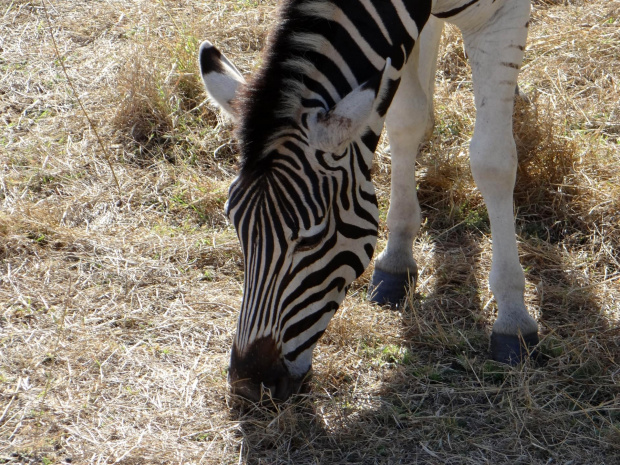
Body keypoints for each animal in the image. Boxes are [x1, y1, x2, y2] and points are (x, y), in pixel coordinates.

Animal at [200, 0, 536, 400]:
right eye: (236, 226)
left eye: (311, 239)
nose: (250, 385)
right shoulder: (400, 37)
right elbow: (406, 121)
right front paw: (397, 258)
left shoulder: (501, 16)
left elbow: (491, 161)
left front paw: (513, 315)